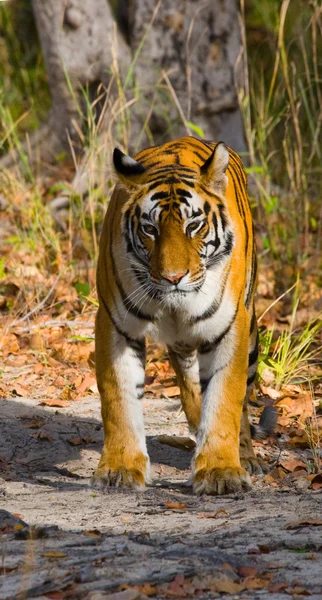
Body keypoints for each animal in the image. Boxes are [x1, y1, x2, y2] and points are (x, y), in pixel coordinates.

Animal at [92, 137, 274, 496]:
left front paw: (220, 472)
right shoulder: (115, 324)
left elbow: (224, 399)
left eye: (194, 225)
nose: (173, 277)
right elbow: (119, 398)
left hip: (250, 338)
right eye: (149, 229)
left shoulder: (230, 328)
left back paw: (247, 457)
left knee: (243, 405)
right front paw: (120, 468)